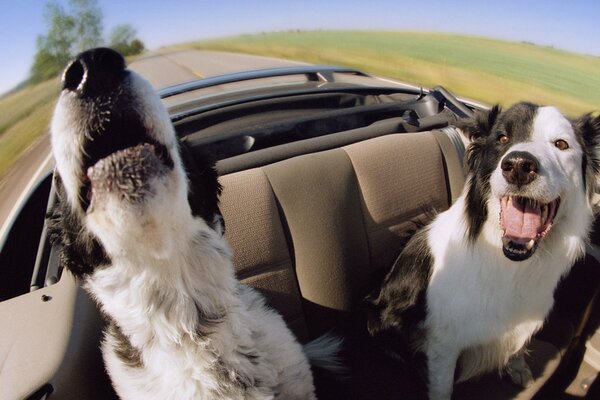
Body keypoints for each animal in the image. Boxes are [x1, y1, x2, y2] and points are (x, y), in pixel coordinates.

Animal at [366, 103, 600, 400]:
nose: (519, 166)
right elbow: (442, 387)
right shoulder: (443, 343)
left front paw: (518, 368)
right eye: (502, 138)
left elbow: (517, 346)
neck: (510, 263)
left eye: (561, 144)